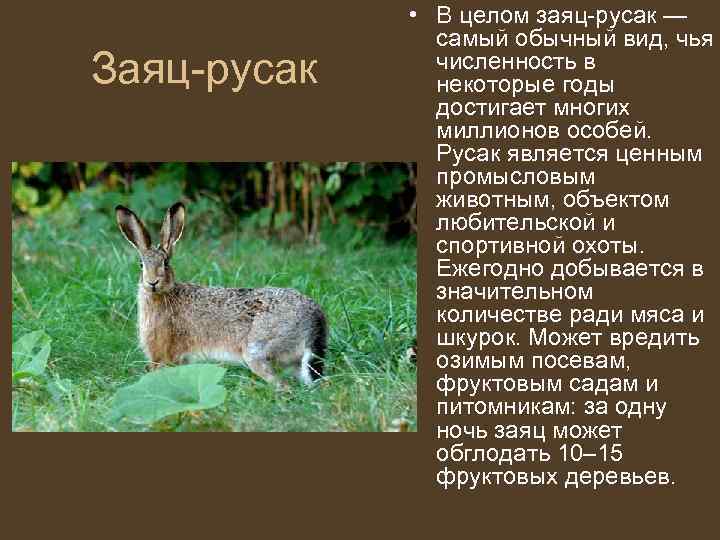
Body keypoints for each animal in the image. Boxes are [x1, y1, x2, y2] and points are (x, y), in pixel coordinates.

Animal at [115, 202, 327, 390]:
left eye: (165, 263)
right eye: (141, 265)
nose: (152, 282)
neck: (164, 294)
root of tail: (315, 319)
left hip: (257, 351)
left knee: (283, 386)